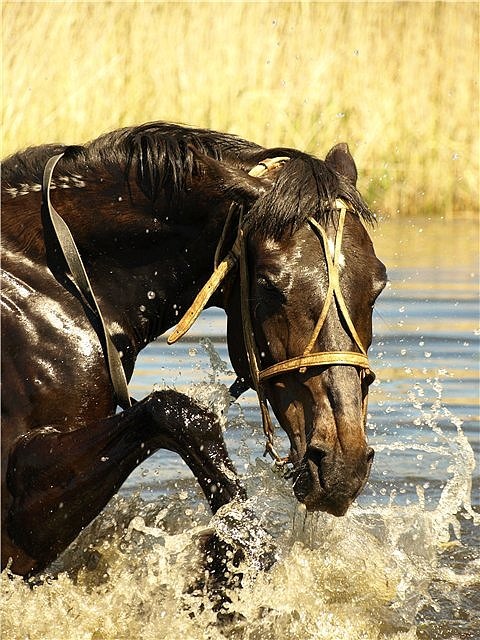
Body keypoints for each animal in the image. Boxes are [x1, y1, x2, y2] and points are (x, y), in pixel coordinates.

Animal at [0, 121, 386, 576]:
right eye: (269, 286)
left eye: (378, 285)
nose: (343, 464)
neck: (55, 278)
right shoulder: (20, 499)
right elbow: (179, 413)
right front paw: (234, 559)